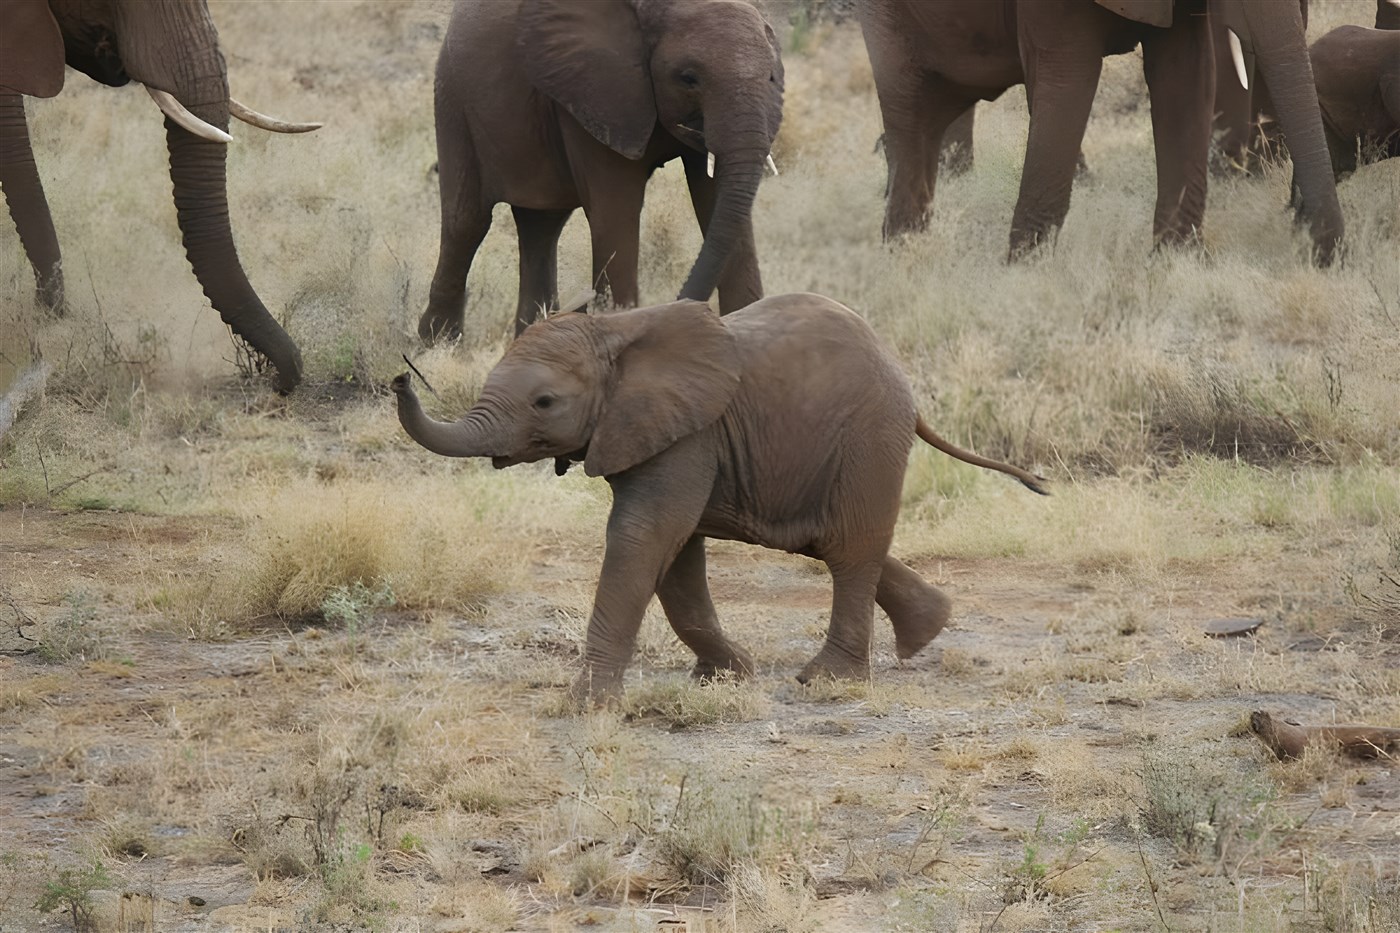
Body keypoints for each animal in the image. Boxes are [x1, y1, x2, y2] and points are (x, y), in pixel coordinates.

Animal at [392, 293, 1048, 704]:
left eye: (545, 403)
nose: (400, 377)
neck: (616, 328)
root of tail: (901, 376)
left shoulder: (688, 432)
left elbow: (644, 534)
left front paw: (587, 704)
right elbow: (675, 553)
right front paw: (728, 677)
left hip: (870, 436)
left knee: (850, 548)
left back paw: (826, 683)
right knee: (830, 539)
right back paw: (928, 631)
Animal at [417, 0, 784, 343]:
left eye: (771, 77)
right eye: (688, 78)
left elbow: (715, 203)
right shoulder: (593, 89)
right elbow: (617, 209)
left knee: (541, 226)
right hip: (452, 99)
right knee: (468, 223)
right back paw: (437, 345)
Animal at [857, 0, 1345, 263]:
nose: (1318, 254)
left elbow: (1185, 75)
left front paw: (1178, 263)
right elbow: (1067, 78)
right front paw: (1027, 274)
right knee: (909, 111)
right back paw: (904, 255)